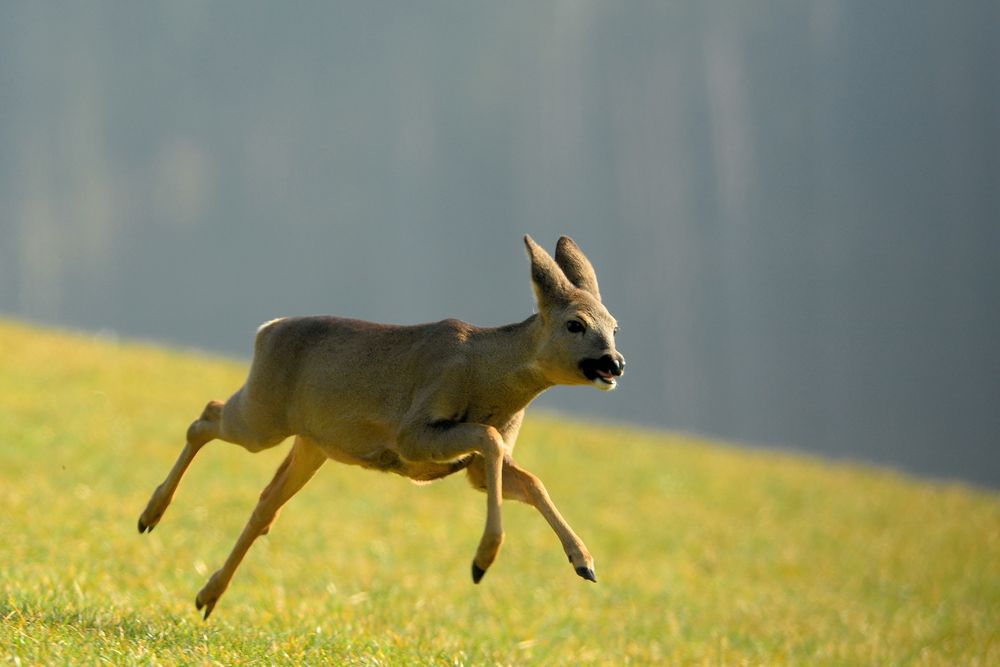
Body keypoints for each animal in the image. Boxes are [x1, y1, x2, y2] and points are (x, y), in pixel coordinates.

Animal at [137, 236, 624, 620]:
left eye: (615, 326)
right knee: (206, 415)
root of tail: (266, 329)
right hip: (262, 416)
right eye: (575, 323)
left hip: (312, 444)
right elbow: (486, 440)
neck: (492, 378)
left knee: (264, 506)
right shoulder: (415, 431)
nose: (614, 362)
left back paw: (206, 595)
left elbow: (532, 480)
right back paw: (150, 517)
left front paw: (584, 562)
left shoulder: (472, 466)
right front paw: (482, 561)